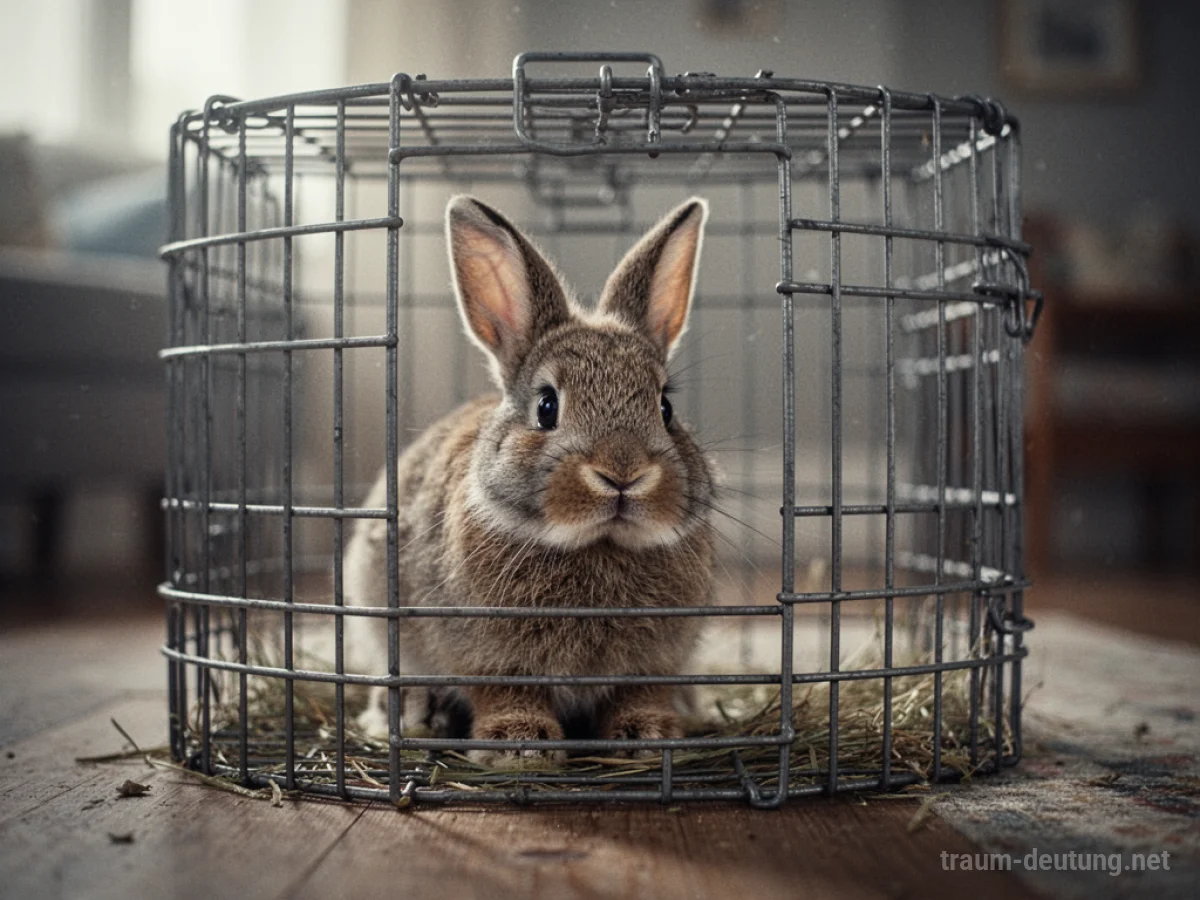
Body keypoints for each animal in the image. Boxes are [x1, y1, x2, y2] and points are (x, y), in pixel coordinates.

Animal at [343, 194, 715, 768]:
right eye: (546, 407)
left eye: (665, 408)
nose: (623, 472)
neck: (597, 545)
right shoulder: (487, 657)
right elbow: (507, 693)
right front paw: (520, 745)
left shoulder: (655, 662)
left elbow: (639, 693)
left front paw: (648, 735)